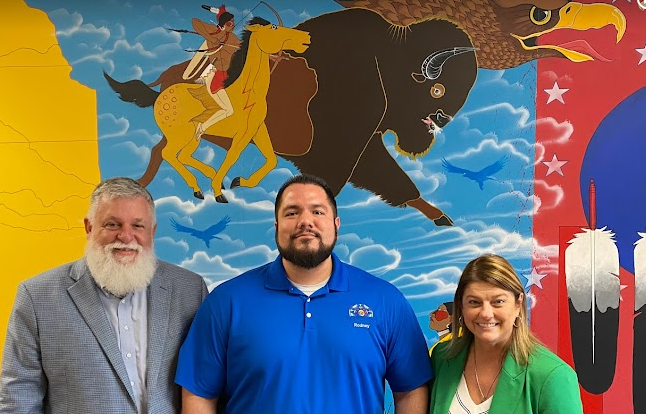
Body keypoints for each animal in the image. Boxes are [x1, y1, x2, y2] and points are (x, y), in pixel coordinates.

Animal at [154, 17, 312, 202]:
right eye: (274, 27)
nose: (306, 36)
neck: (247, 92)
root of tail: (158, 98)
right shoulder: (243, 133)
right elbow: (233, 155)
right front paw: (218, 192)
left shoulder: (257, 129)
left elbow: (272, 159)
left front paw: (239, 181)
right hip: (180, 135)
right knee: (168, 154)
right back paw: (199, 187)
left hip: (194, 135)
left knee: (183, 155)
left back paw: (204, 183)